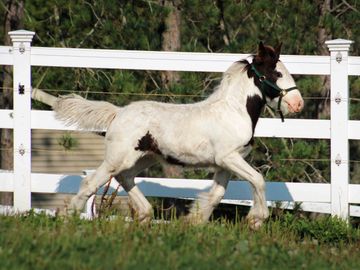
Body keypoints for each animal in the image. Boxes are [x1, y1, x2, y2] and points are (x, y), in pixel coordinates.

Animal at [54, 42, 304, 228]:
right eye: (277, 72)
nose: (298, 104)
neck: (234, 111)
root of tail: (118, 113)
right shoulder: (229, 157)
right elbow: (258, 180)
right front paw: (256, 220)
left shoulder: (224, 164)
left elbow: (216, 195)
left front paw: (193, 222)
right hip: (118, 157)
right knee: (91, 182)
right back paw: (67, 217)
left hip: (144, 157)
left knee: (125, 178)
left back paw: (145, 215)